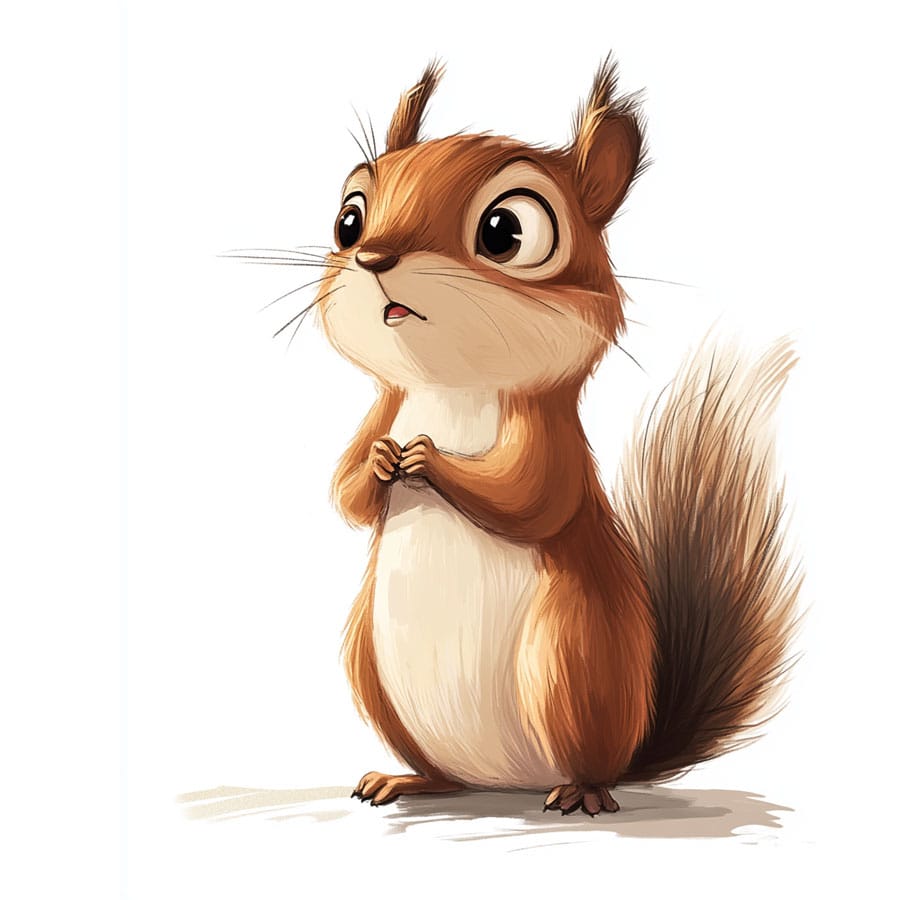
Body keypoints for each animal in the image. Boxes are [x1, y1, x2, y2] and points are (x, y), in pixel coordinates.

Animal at [311, 59, 800, 816]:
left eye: (505, 231)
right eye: (349, 218)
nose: (373, 257)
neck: (450, 386)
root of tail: (505, 782)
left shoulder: (551, 438)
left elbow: (531, 497)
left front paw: (427, 459)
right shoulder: (383, 409)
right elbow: (345, 494)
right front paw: (382, 464)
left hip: (569, 659)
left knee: (588, 760)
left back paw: (582, 792)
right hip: (373, 671)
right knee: (441, 771)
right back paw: (407, 779)